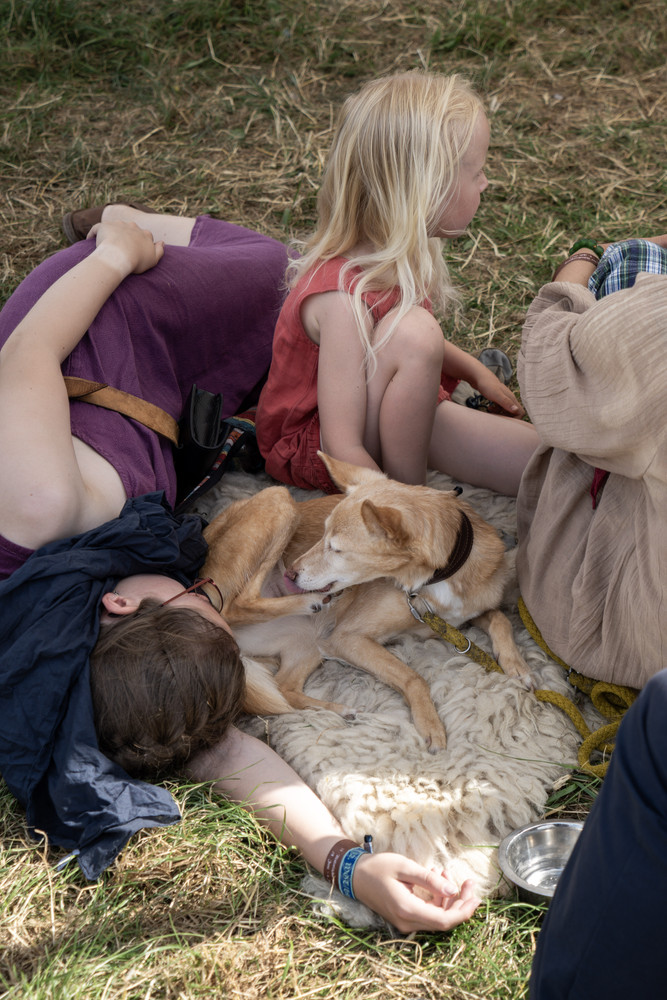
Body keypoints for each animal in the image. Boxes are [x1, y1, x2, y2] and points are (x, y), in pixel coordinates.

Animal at [202, 453, 533, 750]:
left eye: (335, 549)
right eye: (321, 534)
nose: (291, 574)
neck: (435, 578)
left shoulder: (457, 619)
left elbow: (500, 618)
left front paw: (517, 666)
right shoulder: (347, 637)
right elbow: (412, 676)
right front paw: (430, 724)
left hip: (309, 641)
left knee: (285, 690)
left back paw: (336, 710)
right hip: (279, 498)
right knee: (236, 605)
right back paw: (311, 602)